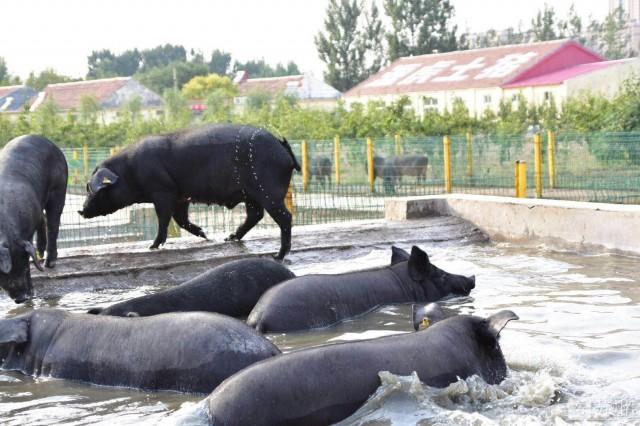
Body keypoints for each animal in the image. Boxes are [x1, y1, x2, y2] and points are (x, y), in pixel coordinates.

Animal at [79, 123, 300, 260]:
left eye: (91, 189)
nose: (81, 210)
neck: (129, 172)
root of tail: (283, 149)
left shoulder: (163, 191)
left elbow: (164, 219)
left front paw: (152, 246)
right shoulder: (181, 196)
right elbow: (181, 220)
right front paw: (205, 235)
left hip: (268, 191)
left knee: (284, 217)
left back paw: (277, 255)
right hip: (251, 194)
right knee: (255, 215)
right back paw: (228, 238)